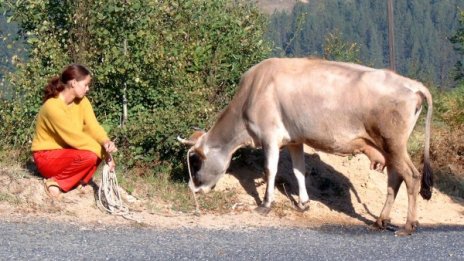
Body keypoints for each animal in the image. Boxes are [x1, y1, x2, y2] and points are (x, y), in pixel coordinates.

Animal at [179, 57, 434, 236]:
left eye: (195, 161)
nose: (192, 188)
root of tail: (412, 84)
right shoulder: (295, 139)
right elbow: (298, 171)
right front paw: (303, 203)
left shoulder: (270, 136)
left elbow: (270, 170)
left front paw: (265, 204)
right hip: (388, 148)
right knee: (395, 178)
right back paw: (381, 221)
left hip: (394, 143)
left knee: (411, 176)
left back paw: (408, 226)